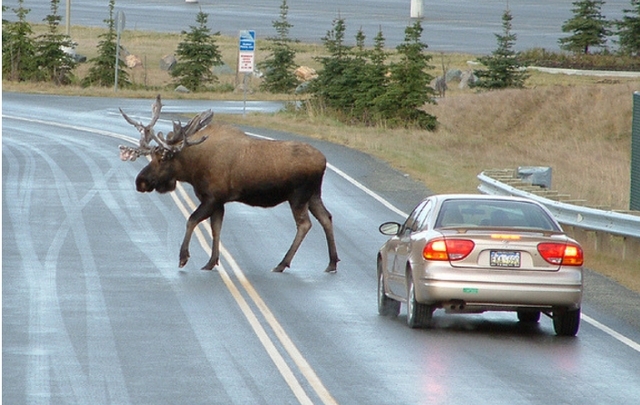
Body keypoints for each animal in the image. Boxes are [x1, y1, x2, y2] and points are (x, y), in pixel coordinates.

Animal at [119, 95, 339, 273]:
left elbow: (192, 220)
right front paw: (211, 262)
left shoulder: (212, 197)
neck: (192, 168)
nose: (141, 181)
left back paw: (282, 264)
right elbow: (216, 228)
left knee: (305, 224)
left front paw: (183, 257)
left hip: (298, 196)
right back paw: (332, 263)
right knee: (326, 218)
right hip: (314, 194)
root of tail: (324, 161)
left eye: (162, 159)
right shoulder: (219, 202)